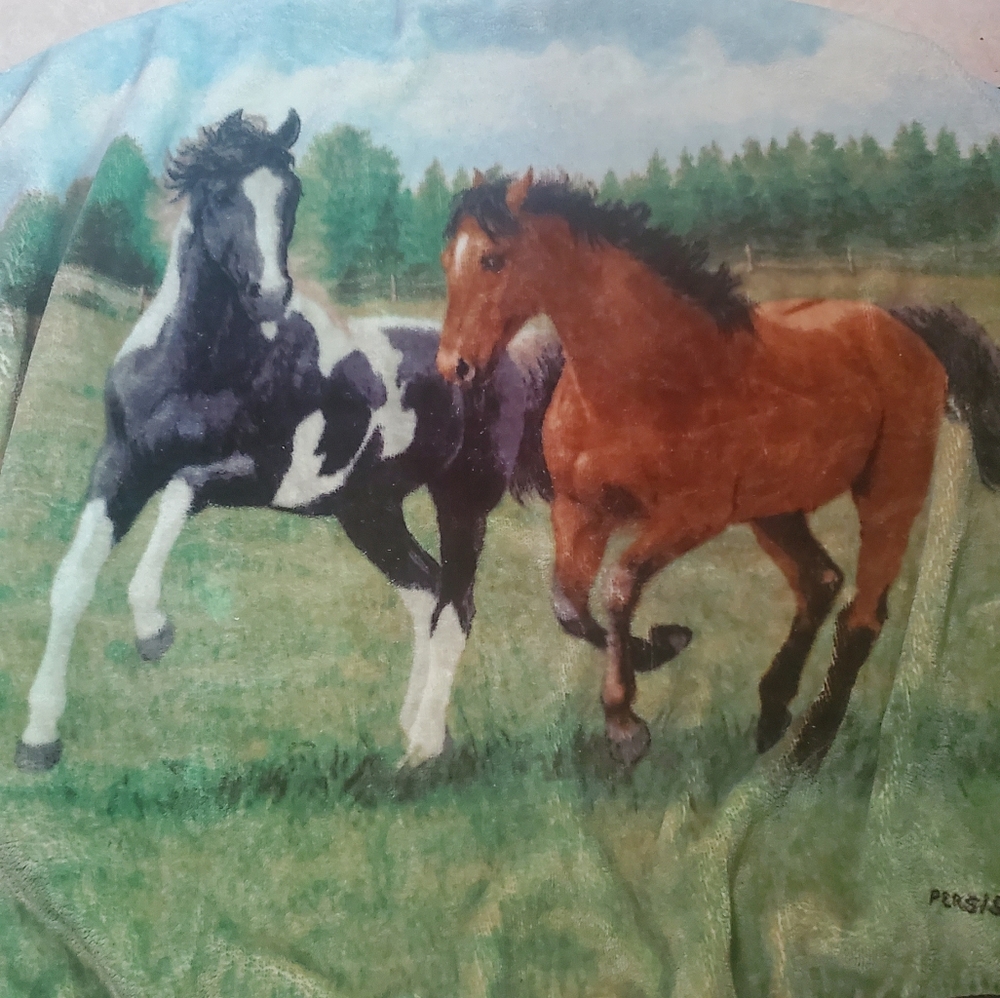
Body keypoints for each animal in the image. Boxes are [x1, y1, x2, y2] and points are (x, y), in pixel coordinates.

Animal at [14, 111, 570, 771]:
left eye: (291, 194)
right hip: (370, 513)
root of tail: (507, 362)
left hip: (462, 502)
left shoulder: (272, 476)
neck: (200, 367)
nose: (271, 294)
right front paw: (38, 740)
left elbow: (182, 490)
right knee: (426, 593)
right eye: (220, 194)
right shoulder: (121, 464)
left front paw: (153, 629)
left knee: (456, 607)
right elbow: (72, 579)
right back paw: (411, 729)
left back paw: (423, 750)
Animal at [434, 169, 1000, 769]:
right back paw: (772, 713)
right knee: (820, 582)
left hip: (890, 493)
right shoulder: (580, 509)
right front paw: (658, 649)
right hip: (773, 508)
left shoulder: (691, 517)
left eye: (492, 259)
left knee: (862, 618)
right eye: (448, 260)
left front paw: (626, 724)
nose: (455, 367)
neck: (641, 381)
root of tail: (900, 325)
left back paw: (808, 749)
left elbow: (618, 587)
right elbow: (569, 606)